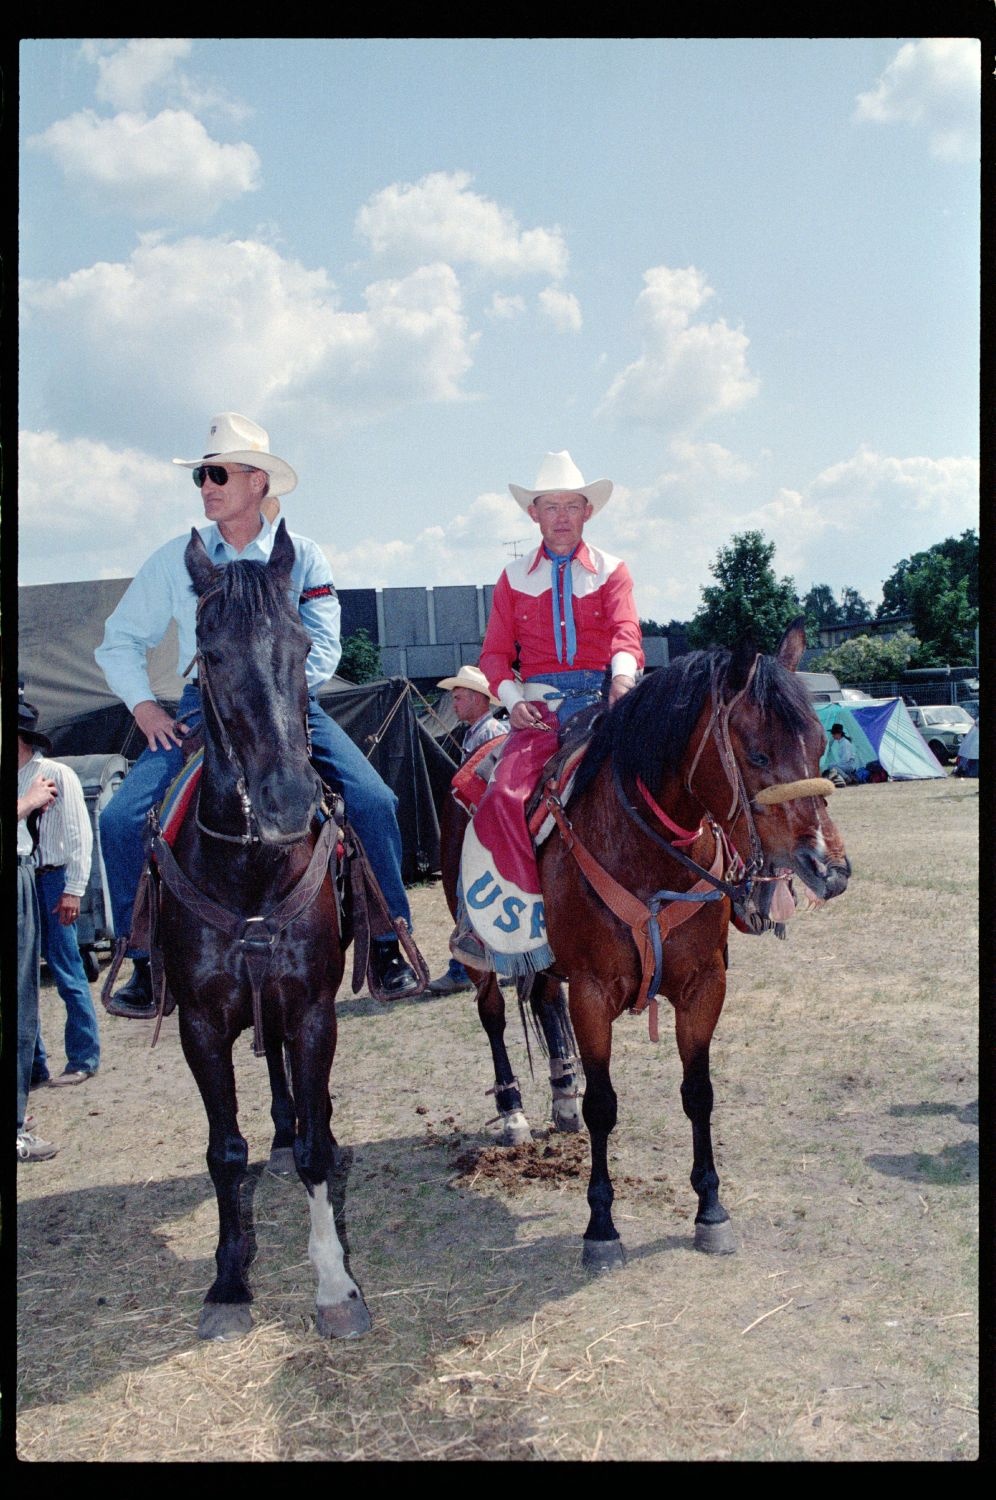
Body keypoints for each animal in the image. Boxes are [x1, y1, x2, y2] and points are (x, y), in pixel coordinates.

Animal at [156, 522, 373, 1344]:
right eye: (211, 655)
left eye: (301, 643)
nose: (286, 801)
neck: (248, 871)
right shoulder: (200, 1022)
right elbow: (225, 1151)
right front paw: (227, 1281)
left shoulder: (311, 1007)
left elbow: (314, 1151)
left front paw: (335, 1284)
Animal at [450, 621, 846, 1266]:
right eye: (758, 754)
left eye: (818, 745)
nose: (830, 869)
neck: (644, 853)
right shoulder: (592, 994)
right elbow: (604, 1105)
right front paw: (601, 1225)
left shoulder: (704, 986)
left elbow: (698, 1092)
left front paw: (711, 1209)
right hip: (481, 953)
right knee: (493, 1015)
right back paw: (512, 1112)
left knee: (545, 1001)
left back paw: (560, 1093)